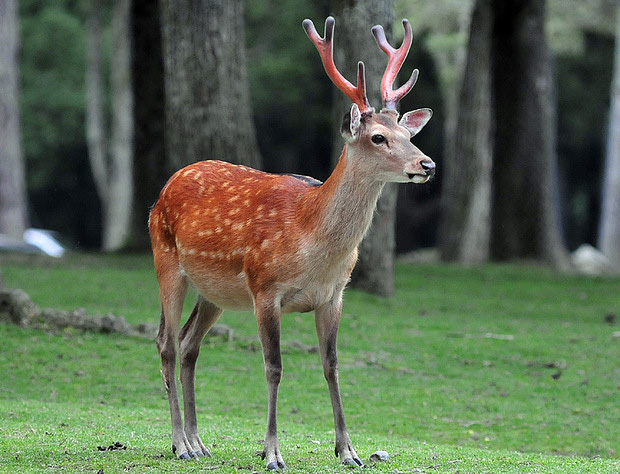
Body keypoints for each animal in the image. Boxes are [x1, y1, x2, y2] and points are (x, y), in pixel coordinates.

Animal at [148, 15, 434, 470]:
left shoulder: (335, 294)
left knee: (191, 343)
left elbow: (332, 366)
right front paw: (272, 453)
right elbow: (274, 367)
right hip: (166, 260)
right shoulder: (266, 288)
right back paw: (180, 443)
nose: (427, 164)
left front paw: (349, 451)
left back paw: (199, 441)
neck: (310, 238)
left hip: (216, 291)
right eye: (377, 137)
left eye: (408, 133)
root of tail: (164, 189)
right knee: (166, 343)